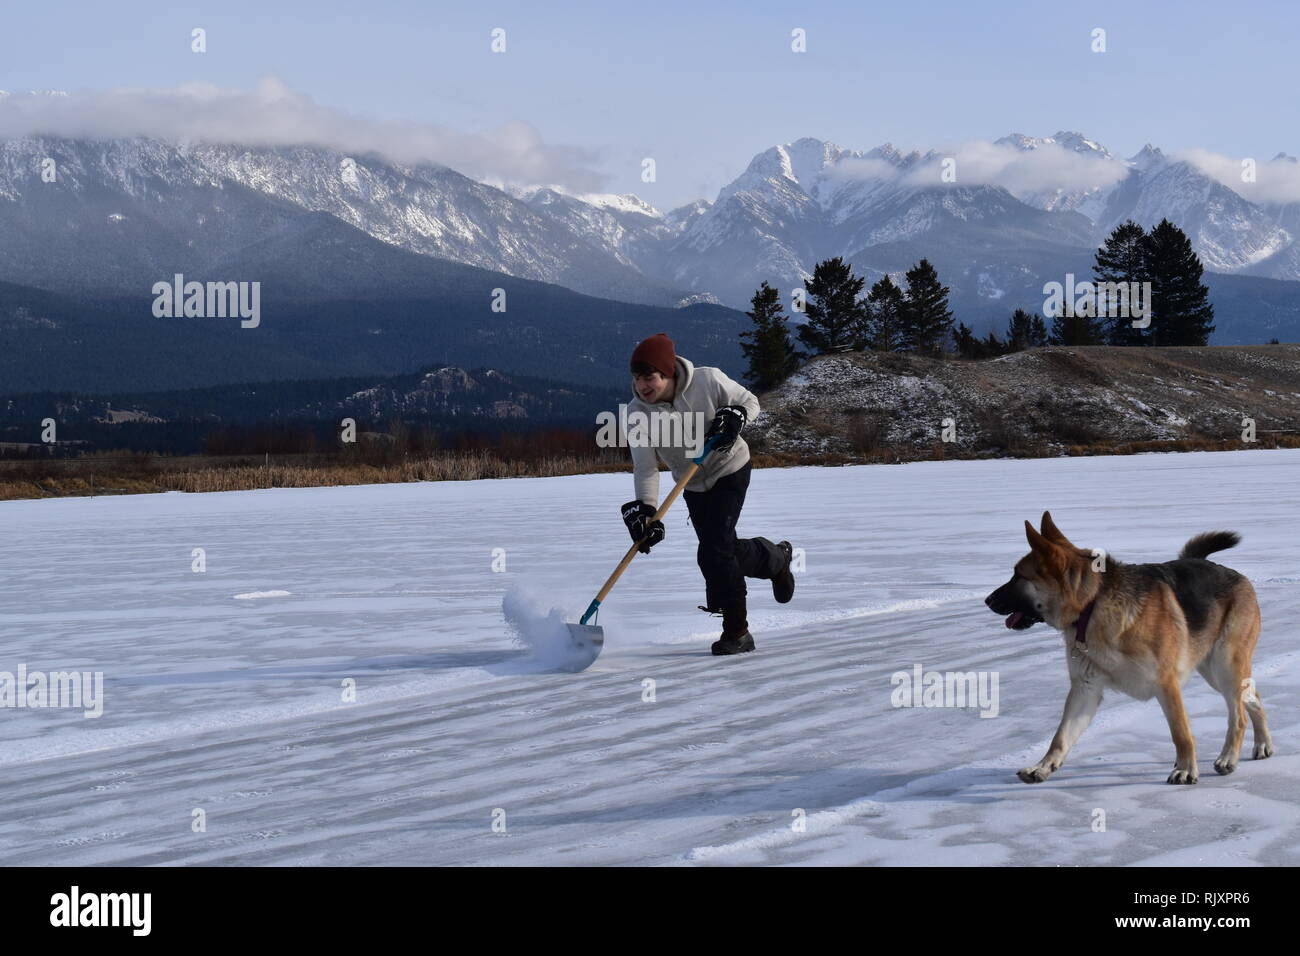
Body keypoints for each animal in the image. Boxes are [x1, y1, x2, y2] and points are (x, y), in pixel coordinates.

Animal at [982, 515, 1268, 785]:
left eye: (1018, 576)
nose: (988, 600)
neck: (1092, 604)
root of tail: (1232, 573)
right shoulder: (1085, 689)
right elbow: (1060, 737)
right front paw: (1042, 767)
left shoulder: (1166, 684)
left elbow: (1181, 734)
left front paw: (1186, 770)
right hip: (1214, 671)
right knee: (1253, 698)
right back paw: (1263, 744)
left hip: (1224, 667)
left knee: (1238, 717)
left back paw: (1228, 757)